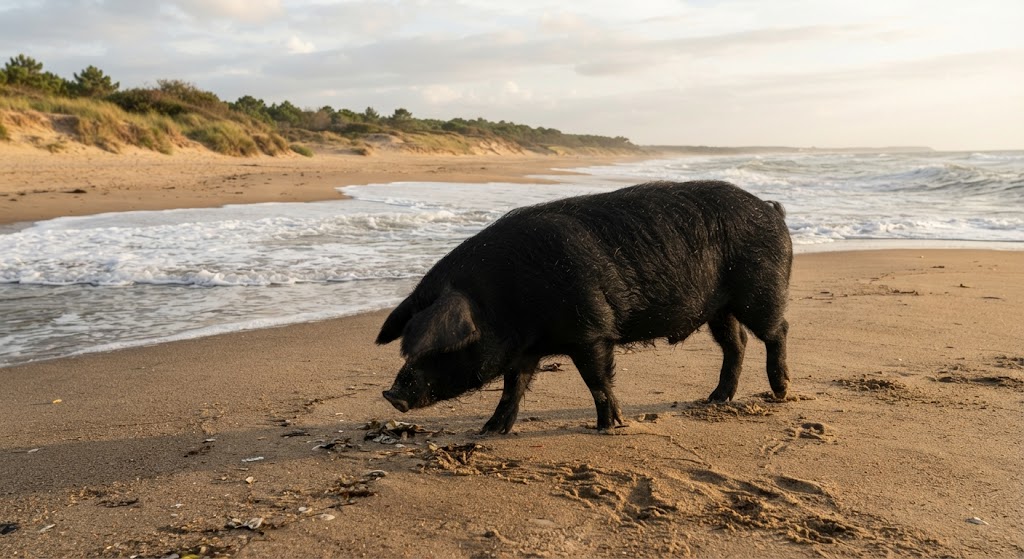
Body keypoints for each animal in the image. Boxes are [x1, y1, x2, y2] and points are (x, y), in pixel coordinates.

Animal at [377, 180, 792, 434]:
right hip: (719, 309)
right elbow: (513, 387)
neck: (506, 300)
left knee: (777, 330)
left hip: (760, 291)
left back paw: (781, 391)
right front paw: (489, 430)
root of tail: (773, 209)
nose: (391, 395)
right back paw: (715, 398)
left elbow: (597, 380)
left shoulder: (591, 329)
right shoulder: (525, 350)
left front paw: (611, 426)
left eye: (437, 347)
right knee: (736, 342)